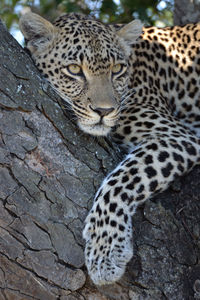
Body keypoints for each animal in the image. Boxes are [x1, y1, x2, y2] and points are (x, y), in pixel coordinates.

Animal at [19, 11, 200, 286]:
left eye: (117, 70)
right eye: (74, 70)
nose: (104, 111)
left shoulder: (179, 136)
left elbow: (123, 179)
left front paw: (106, 250)